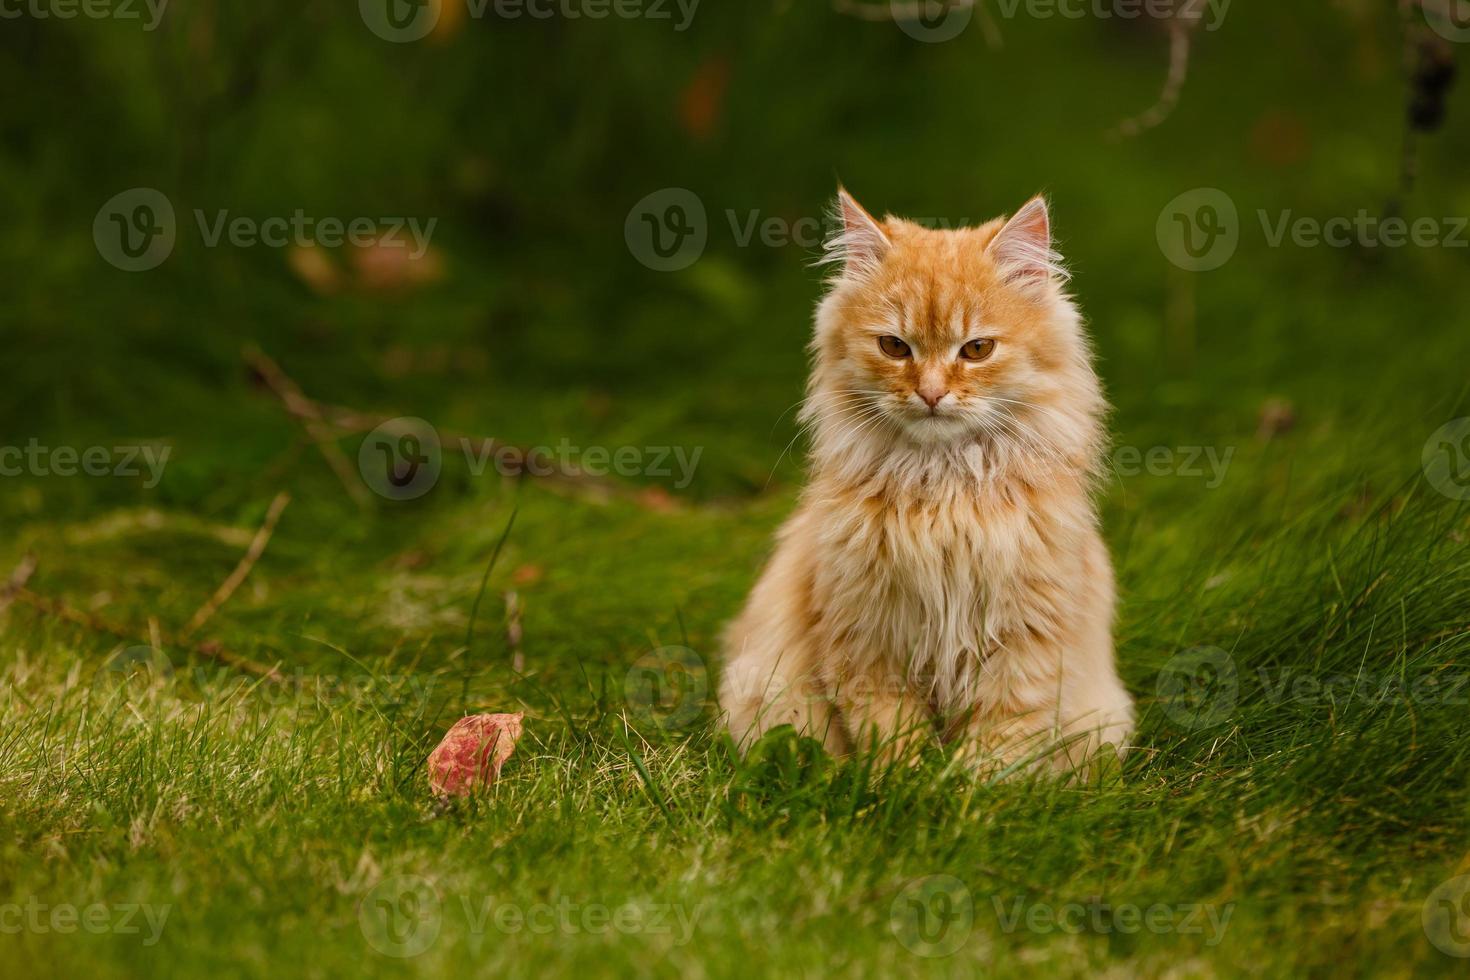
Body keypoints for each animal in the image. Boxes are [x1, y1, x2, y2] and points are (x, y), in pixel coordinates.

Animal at [717, 191, 1128, 775]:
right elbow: (892, 736)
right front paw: (906, 783)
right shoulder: (869, 638)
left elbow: (999, 747)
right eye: (894, 347)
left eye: (976, 350)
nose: (931, 393)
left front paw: (969, 791)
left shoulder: (1025, 641)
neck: (942, 486)